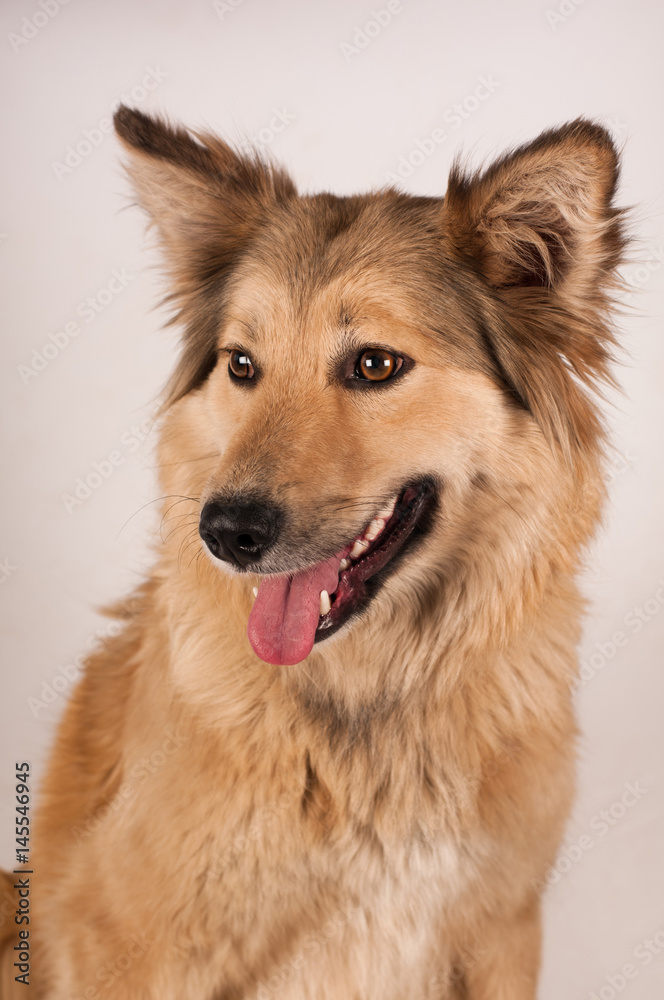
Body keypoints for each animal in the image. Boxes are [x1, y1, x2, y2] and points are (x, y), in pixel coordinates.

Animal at [1, 109, 624, 1000]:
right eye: (242, 365)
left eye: (374, 364)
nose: (225, 532)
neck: (369, 708)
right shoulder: (122, 938)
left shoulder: (502, 932)